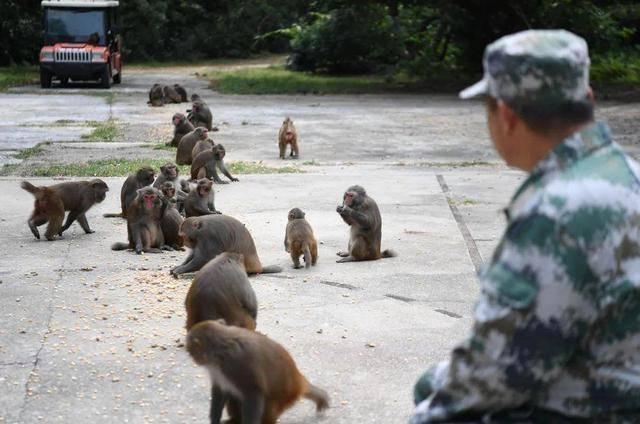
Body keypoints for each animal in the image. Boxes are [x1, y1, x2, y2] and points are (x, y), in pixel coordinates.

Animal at [184, 320, 324, 422]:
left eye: (191, 352)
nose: (194, 359)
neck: (221, 351)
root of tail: (298, 380)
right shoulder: (217, 369)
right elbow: (221, 390)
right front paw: (214, 418)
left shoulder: (236, 364)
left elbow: (254, 393)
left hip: (285, 396)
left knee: (267, 403)